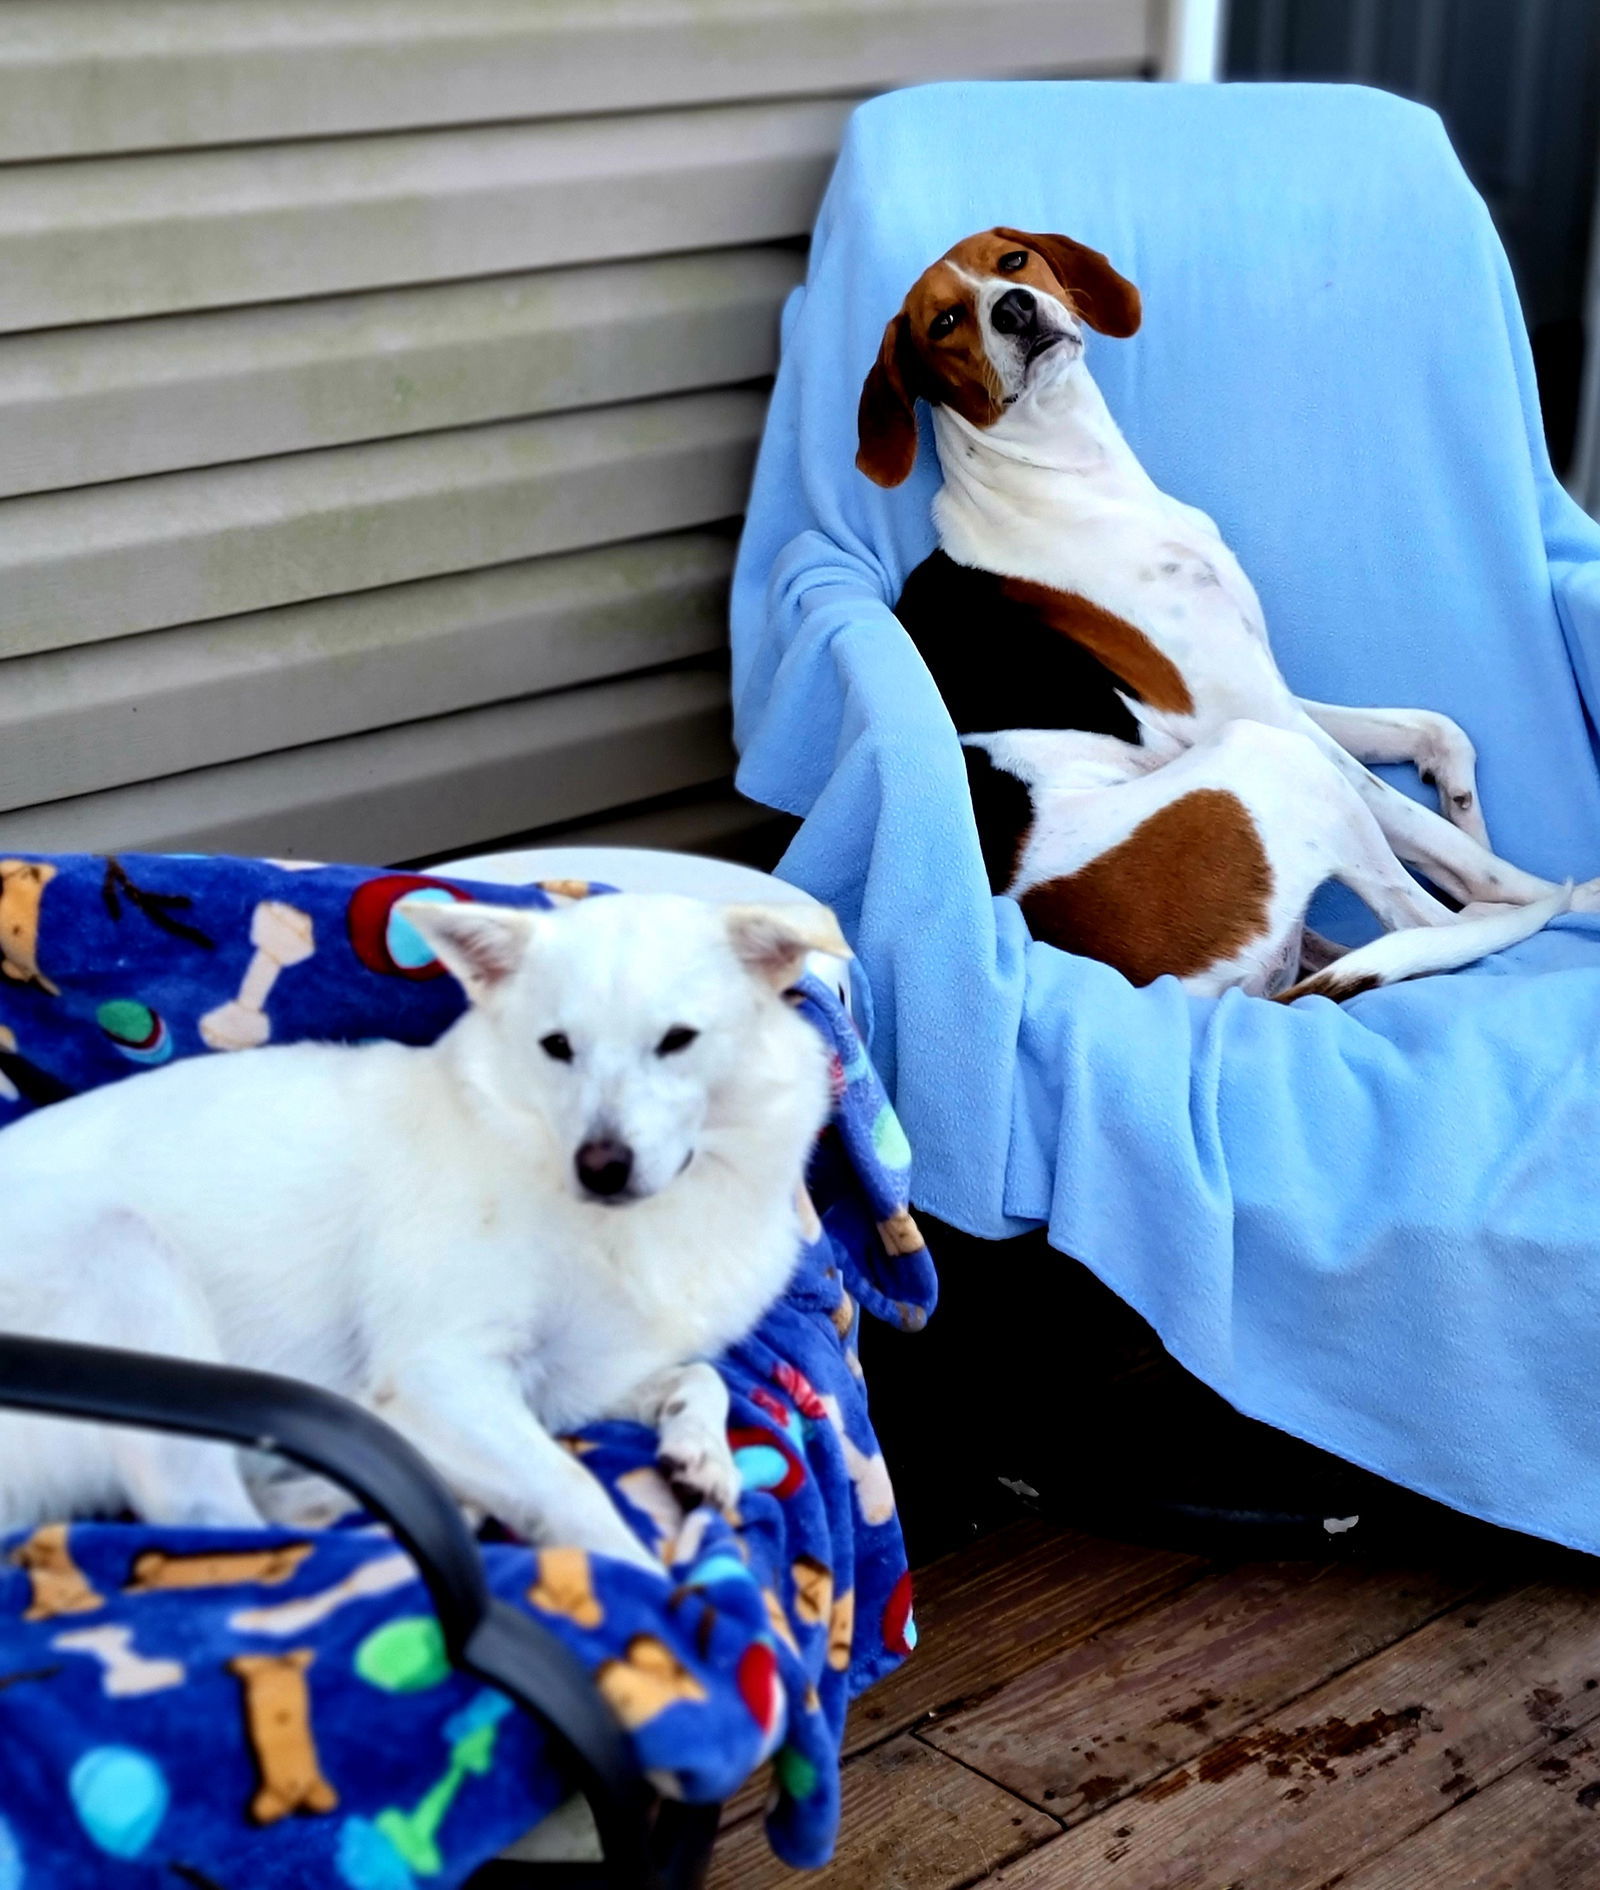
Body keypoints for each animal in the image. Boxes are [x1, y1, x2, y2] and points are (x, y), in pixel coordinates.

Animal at [0, 888, 850, 1564]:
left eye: (676, 1040)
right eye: (557, 1048)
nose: (600, 1167)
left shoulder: (577, 1381)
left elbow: (700, 1376)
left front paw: (699, 1449)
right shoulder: (441, 1373)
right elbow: (575, 1489)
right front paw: (633, 1587)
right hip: (126, 1259)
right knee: (204, 1520)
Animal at [857, 230, 1586, 1005]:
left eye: (1011, 262)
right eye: (943, 323)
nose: (1014, 309)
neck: (1073, 483)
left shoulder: (1262, 689)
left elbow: (1439, 733)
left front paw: (1464, 810)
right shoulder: (1262, 715)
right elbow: (1449, 846)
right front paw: (1555, 891)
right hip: (1273, 759)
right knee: (1424, 922)